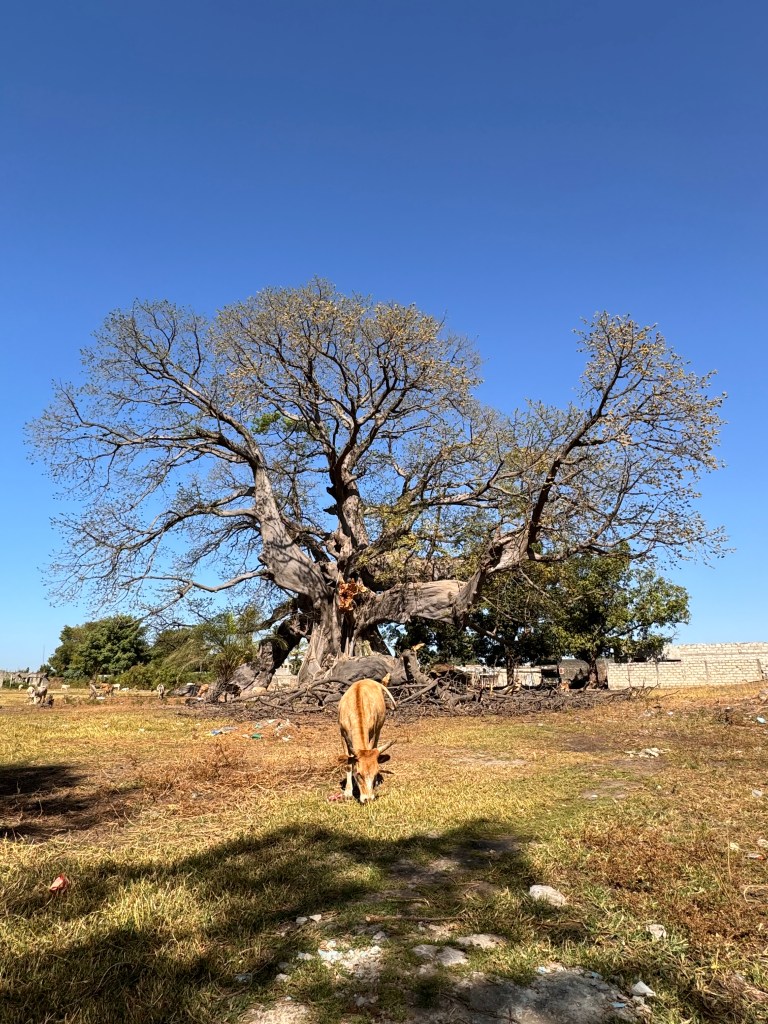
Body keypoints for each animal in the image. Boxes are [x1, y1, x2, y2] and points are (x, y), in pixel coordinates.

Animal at [337, 675, 395, 804]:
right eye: (359, 774)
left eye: (375, 773)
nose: (368, 799)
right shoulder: (342, 734)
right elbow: (348, 764)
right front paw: (348, 792)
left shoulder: (372, 733)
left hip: (378, 729)